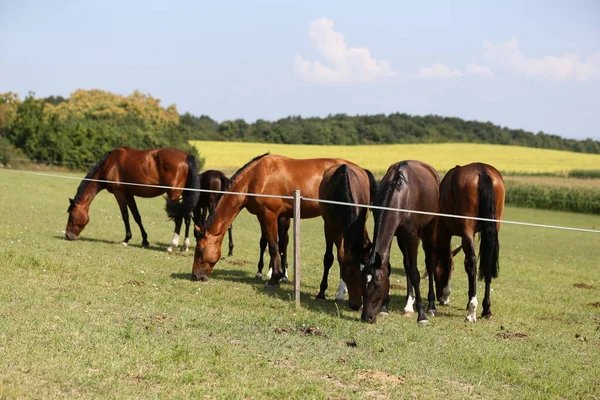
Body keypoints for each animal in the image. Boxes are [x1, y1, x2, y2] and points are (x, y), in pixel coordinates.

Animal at [66, 147, 199, 253]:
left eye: (71, 214)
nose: (68, 235)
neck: (109, 164)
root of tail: (186, 156)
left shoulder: (119, 194)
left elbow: (125, 216)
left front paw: (126, 239)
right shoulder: (129, 195)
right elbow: (136, 216)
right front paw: (145, 240)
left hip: (173, 194)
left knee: (179, 219)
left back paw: (172, 245)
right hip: (185, 195)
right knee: (187, 217)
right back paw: (185, 246)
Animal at [193, 152, 356, 286]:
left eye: (200, 250)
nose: (195, 276)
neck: (255, 177)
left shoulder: (269, 214)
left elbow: (273, 246)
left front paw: (274, 279)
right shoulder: (263, 216)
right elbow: (269, 243)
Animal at [360, 161, 440, 324]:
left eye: (377, 285)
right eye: (362, 283)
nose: (367, 317)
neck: (401, 193)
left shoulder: (412, 236)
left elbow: (415, 273)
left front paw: (422, 315)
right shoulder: (397, 235)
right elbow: (390, 268)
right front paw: (384, 308)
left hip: (430, 229)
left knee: (429, 263)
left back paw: (431, 306)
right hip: (402, 238)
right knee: (407, 264)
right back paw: (408, 305)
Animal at [434, 162, 504, 322]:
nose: (439, 297)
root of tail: (483, 171)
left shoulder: (445, 232)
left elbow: (447, 260)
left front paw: (446, 294)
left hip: (467, 228)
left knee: (471, 262)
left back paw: (472, 309)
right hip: (494, 225)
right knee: (487, 262)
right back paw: (486, 308)